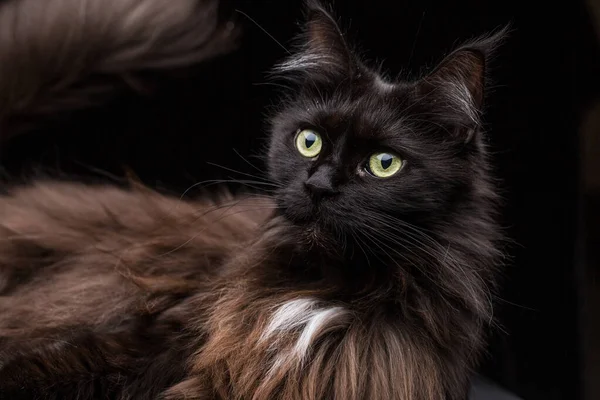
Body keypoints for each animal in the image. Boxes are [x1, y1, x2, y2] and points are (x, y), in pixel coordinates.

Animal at [0, 0, 506, 398]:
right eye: (309, 142)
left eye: (384, 163)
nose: (318, 186)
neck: (323, 291)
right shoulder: (154, 334)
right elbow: (40, 367)